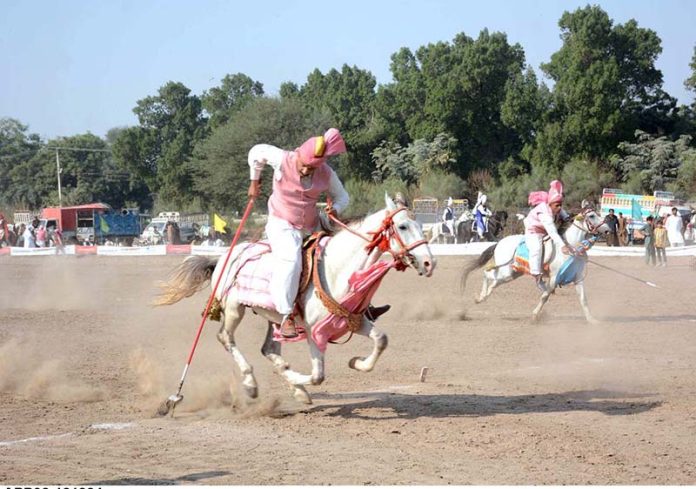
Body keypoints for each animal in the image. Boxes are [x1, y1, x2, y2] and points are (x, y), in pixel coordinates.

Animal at [156, 194, 436, 404]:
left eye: (420, 226)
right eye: (403, 226)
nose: (429, 263)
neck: (337, 269)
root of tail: (223, 256)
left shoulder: (351, 320)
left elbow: (381, 340)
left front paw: (356, 363)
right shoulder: (315, 332)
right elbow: (318, 375)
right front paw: (296, 380)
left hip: (275, 318)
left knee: (268, 348)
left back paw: (295, 389)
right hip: (234, 308)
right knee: (226, 338)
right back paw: (251, 384)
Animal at [462, 208, 608, 322]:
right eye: (592, 215)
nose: (607, 229)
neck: (570, 247)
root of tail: (499, 242)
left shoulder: (577, 278)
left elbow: (583, 299)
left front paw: (592, 320)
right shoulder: (554, 278)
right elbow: (545, 296)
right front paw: (534, 315)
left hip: (512, 274)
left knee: (494, 283)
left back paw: (481, 298)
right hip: (506, 271)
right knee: (487, 274)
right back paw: (478, 298)